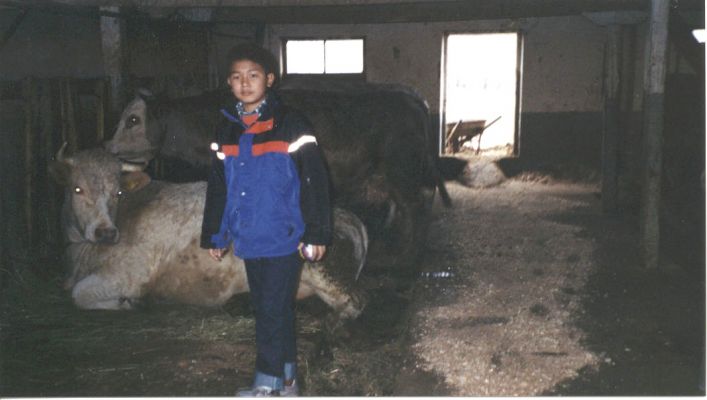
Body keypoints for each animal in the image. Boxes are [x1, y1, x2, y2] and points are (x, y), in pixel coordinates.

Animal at [49, 146, 368, 318]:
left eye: (117, 191)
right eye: (77, 189)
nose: (105, 232)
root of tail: (349, 217)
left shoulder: (129, 275)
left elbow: (80, 294)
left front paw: (129, 303)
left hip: (324, 272)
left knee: (352, 305)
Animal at [103, 81, 450, 268]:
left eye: (132, 120)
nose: (109, 147)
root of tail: (409, 98)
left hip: (403, 173)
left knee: (416, 207)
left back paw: (403, 258)